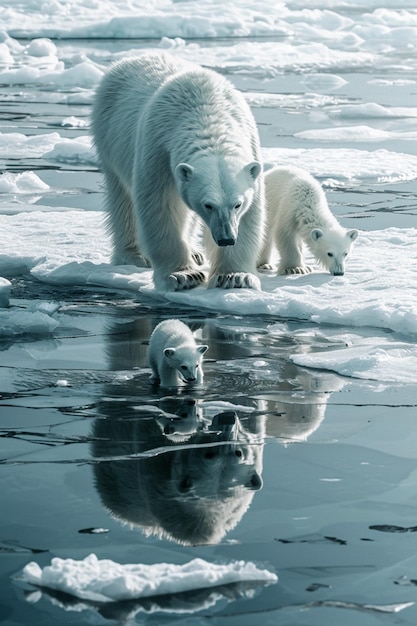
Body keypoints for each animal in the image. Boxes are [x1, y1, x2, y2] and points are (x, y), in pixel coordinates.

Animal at [92, 53, 264, 290]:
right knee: (123, 199)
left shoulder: (249, 145)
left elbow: (251, 214)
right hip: (110, 138)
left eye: (237, 204)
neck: (206, 113)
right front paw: (183, 276)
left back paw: (195, 253)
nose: (226, 238)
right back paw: (135, 255)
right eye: (208, 205)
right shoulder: (159, 149)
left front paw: (235, 276)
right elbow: (160, 207)